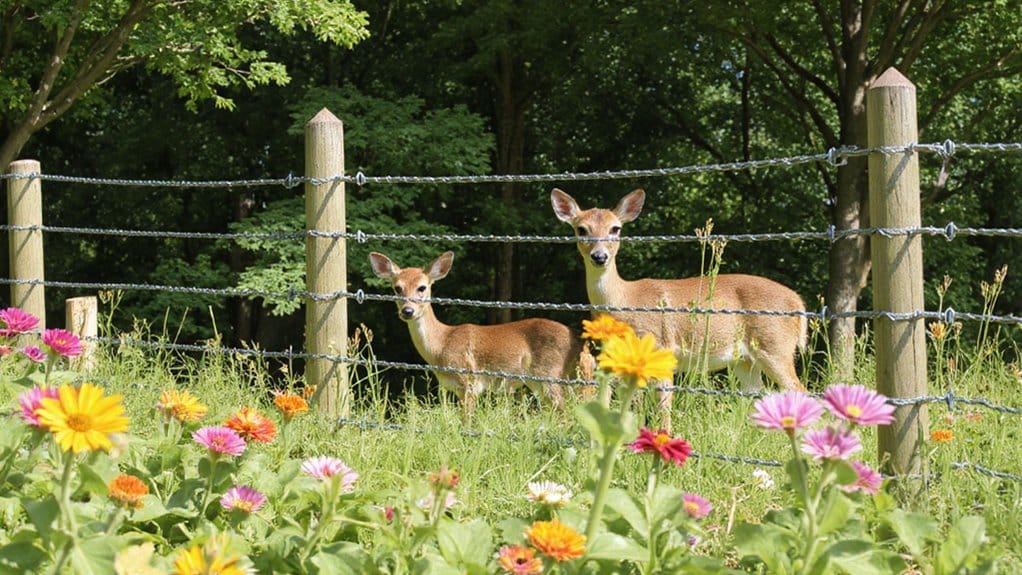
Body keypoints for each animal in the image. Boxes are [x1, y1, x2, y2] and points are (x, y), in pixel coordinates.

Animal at [369, 250, 594, 416]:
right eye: (397, 288)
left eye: (422, 287)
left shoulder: (470, 381)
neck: (441, 344)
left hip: (549, 374)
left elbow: (466, 422)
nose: (407, 311)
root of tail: (579, 340)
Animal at [551, 188, 807, 429]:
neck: (625, 298)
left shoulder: (662, 347)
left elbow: (664, 407)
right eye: (581, 229)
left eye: (615, 229)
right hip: (744, 361)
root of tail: (798, 302)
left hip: (775, 346)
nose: (599, 256)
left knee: (800, 390)